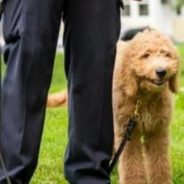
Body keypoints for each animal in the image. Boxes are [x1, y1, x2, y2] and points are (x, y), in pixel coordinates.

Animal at [113, 30, 180, 184]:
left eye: (166, 54)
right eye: (146, 55)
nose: (161, 71)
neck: (144, 98)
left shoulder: (157, 131)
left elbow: (160, 164)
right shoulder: (128, 133)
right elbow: (131, 166)